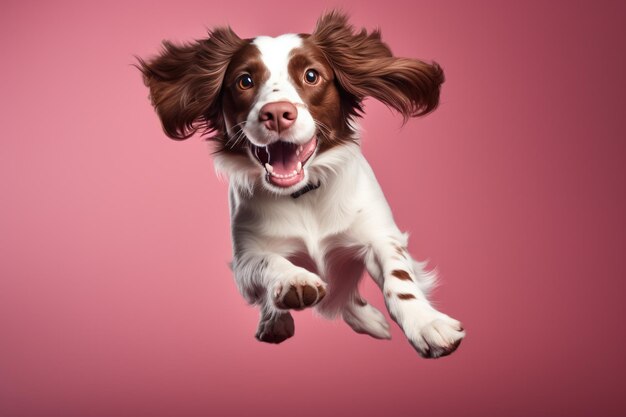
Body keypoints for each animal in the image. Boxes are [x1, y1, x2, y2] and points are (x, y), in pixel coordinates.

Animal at [139, 10, 460, 354]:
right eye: (245, 81)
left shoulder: (380, 234)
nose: (277, 113)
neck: (302, 195)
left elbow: (398, 275)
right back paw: (277, 320)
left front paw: (426, 322)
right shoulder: (245, 259)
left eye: (311, 75)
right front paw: (294, 281)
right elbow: (268, 261)